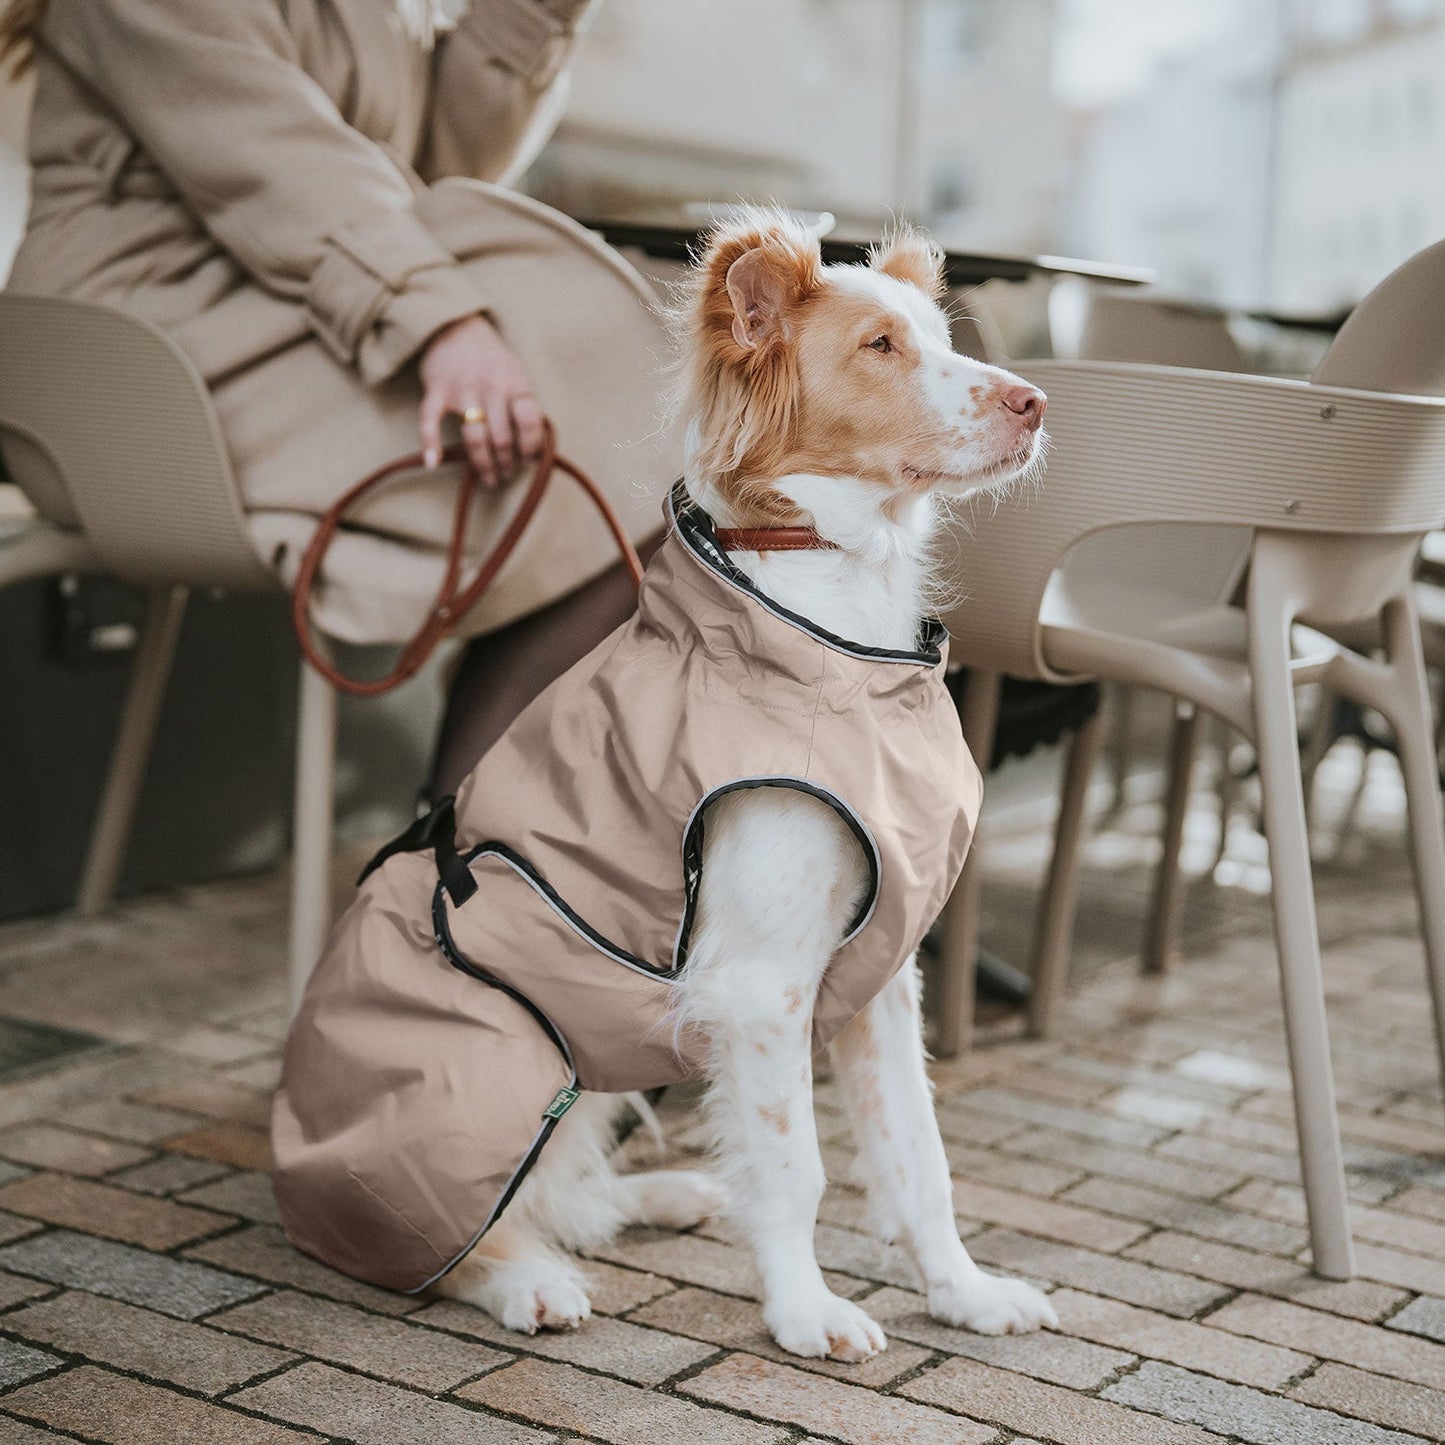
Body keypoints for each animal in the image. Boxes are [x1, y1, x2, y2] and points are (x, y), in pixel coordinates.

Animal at [433, 210, 1057, 1352]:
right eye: (879, 347)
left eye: (938, 338)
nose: (1034, 401)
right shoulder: (759, 985)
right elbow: (795, 1166)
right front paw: (806, 1309)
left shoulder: (879, 969)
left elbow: (919, 1157)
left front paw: (965, 1291)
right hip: (520, 1051)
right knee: (470, 1213)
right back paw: (523, 1279)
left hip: (604, 1054)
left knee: (561, 1186)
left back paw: (661, 1195)